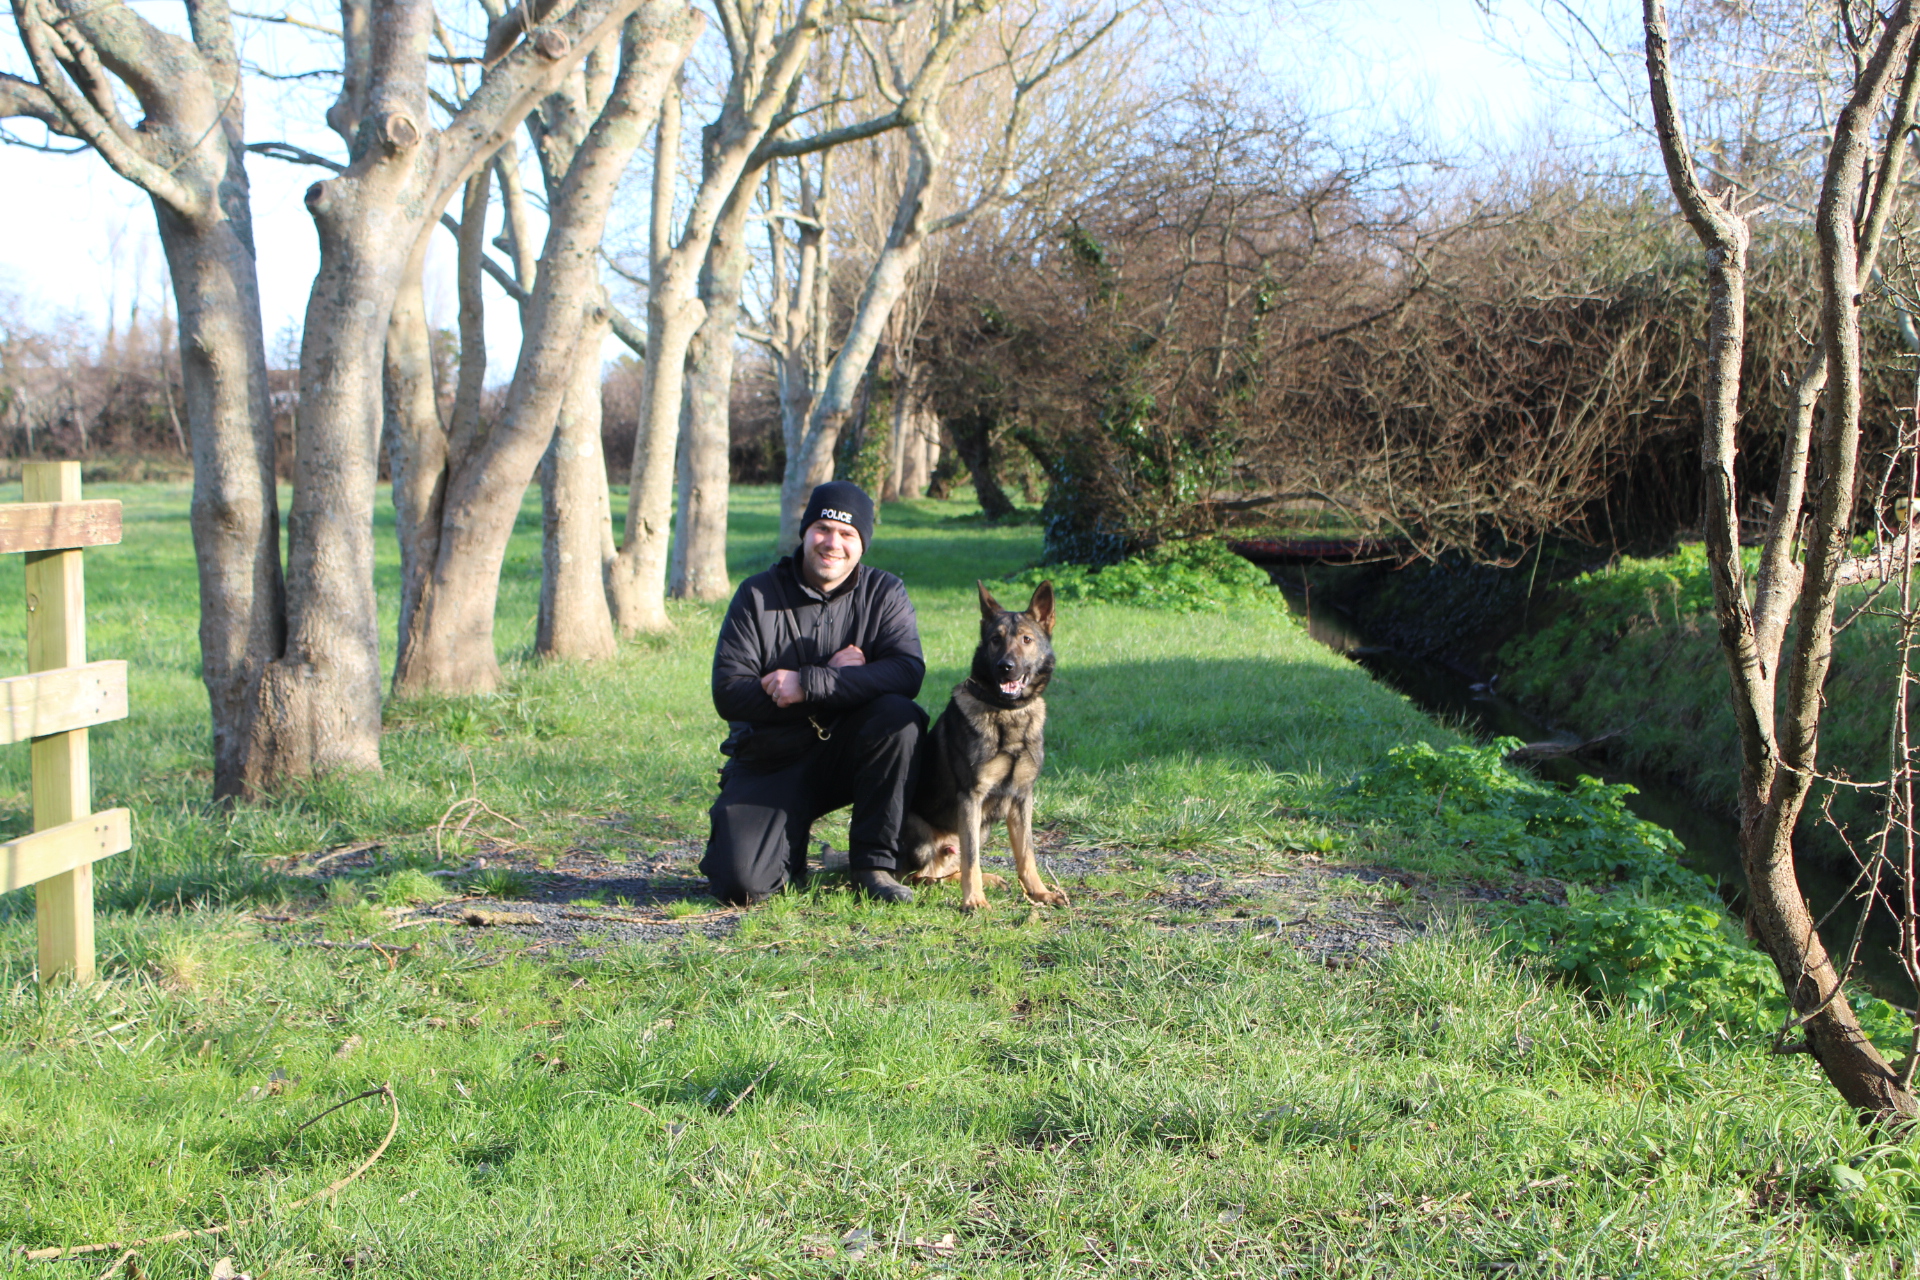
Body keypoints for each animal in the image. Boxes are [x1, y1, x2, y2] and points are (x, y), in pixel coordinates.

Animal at [894, 579, 1067, 909]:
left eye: (1026, 639)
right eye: (995, 640)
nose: (1005, 667)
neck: (1007, 712)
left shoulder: (1022, 798)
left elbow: (1026, 854)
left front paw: (1038, 892)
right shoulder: (971, 797)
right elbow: (972, 858)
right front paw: (974, 900)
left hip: (983, 827)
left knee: (949, 866)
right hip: (921, 833)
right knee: (919, 875)